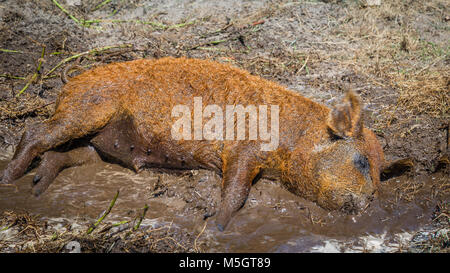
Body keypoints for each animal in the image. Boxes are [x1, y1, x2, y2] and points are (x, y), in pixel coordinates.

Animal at [0, 56, 402, 230]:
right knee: (35, 133)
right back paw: (9, 182)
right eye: (361, 162)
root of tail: (67, 83)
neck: (295, 138)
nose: (371, 203)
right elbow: (237, 189)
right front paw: (217, 225)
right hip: (86, 110)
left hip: (99, 145)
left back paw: (37, 189)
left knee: (61, 154)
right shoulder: (243, 149)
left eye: (381, 175)